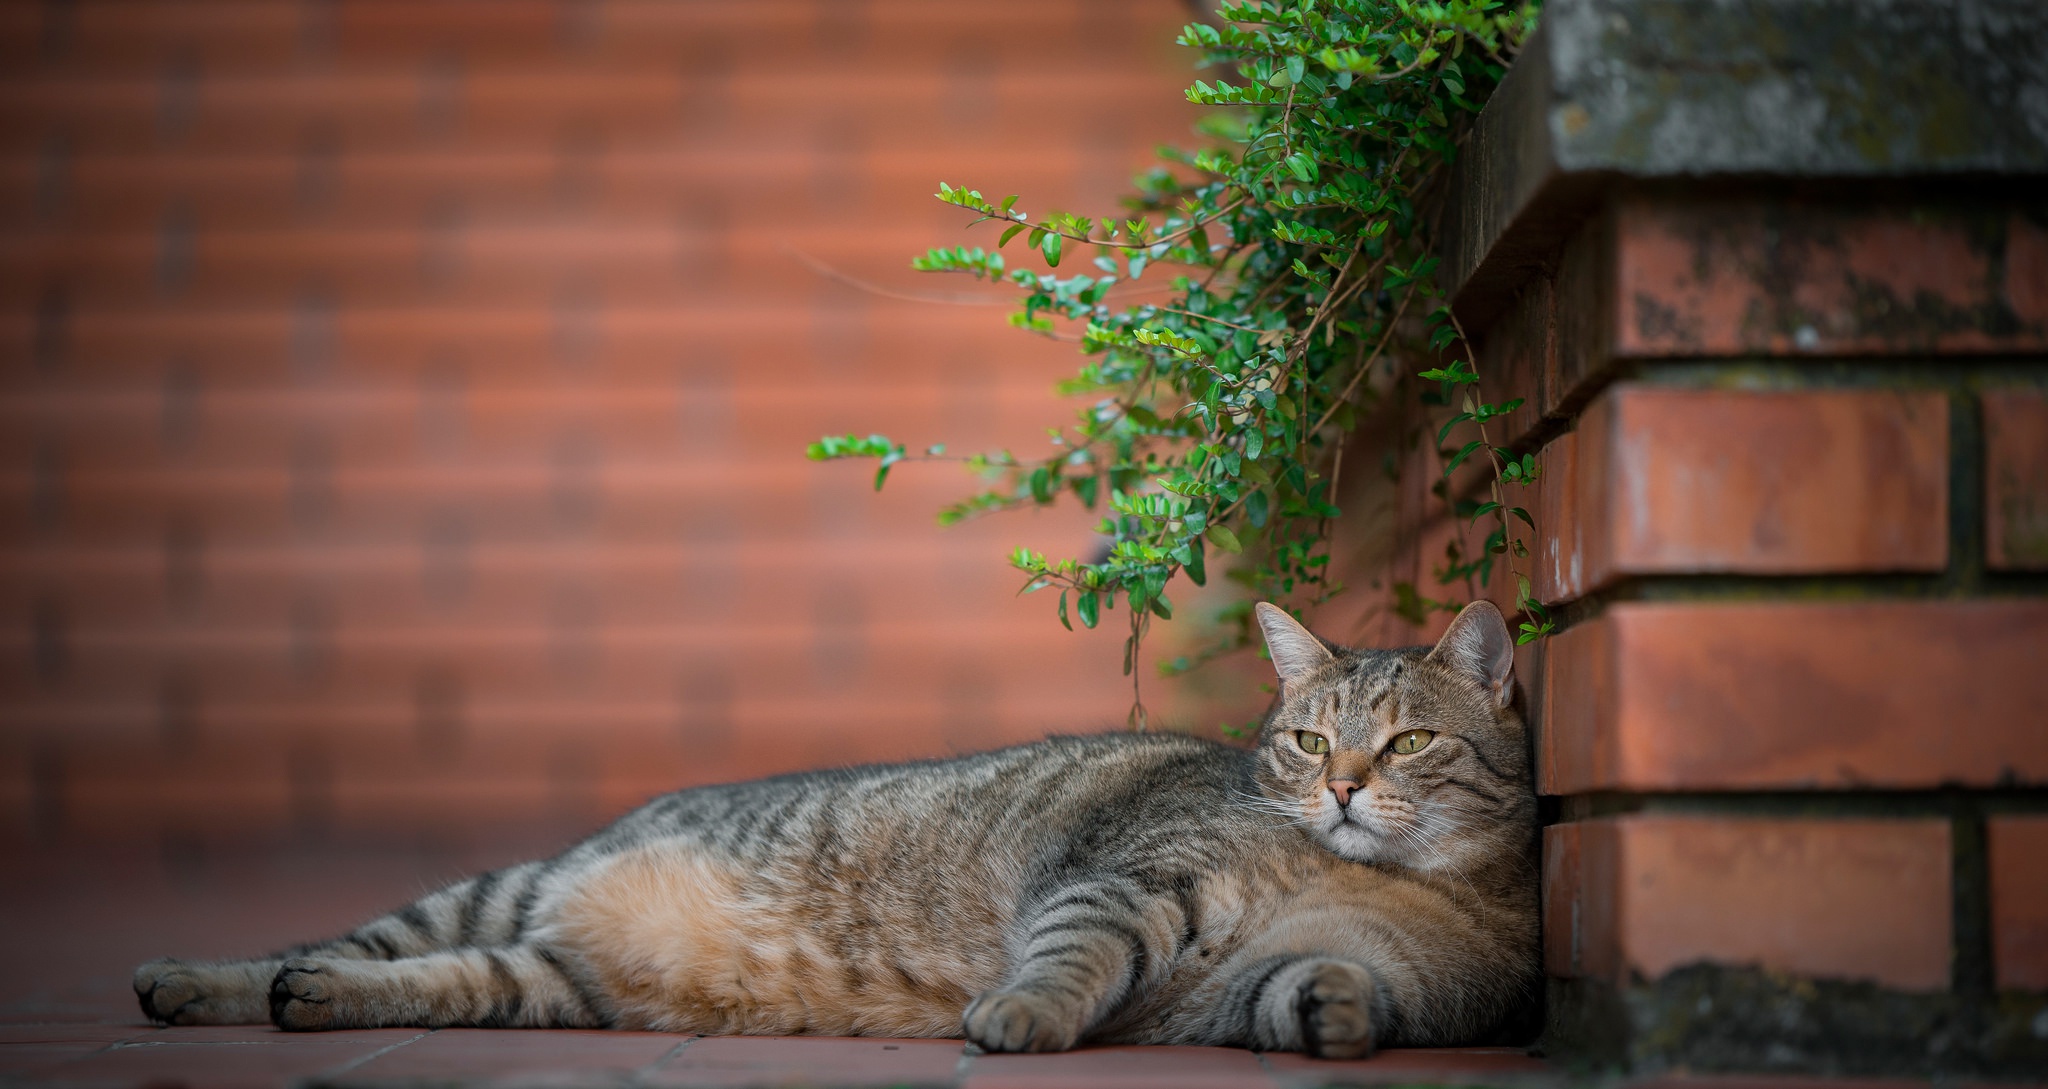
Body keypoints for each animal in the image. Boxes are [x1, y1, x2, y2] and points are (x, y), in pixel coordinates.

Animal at [132, 601, 1540, 1056]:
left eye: (1405, 742)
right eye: (1304, 741)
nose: (1341, 785)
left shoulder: (1315, 977)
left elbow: (1320, 988)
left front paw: (1336, 1014)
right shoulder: (1132, 881)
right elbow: (1069, 955)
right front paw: (1014, 1019)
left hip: (531, 977)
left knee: (411, 980)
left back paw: (304, 1003)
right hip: (491, 894)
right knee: (329, 942)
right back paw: (190, 980)